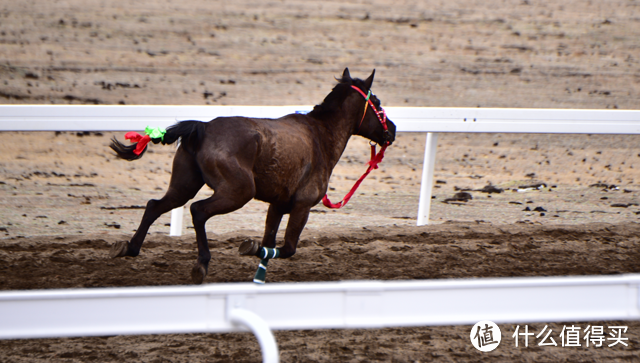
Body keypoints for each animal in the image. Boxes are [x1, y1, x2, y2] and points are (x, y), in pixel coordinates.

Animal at [110, 68, 396, 284]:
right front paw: (250, 247)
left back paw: (129, 248)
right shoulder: (302, 206)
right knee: (198, 210)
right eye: (378, 103)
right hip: (238, 192)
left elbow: (268, 246)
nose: (392, 130)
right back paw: (201, 264)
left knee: (154, 205)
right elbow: (288, 248)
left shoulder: (278, 205)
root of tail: (202, 127)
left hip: (185, 185)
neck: (320, 135)